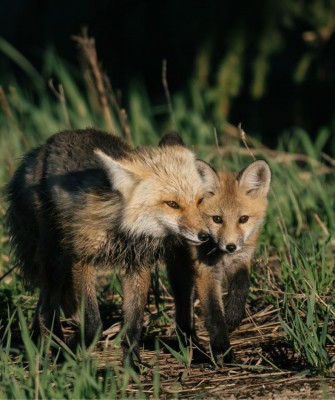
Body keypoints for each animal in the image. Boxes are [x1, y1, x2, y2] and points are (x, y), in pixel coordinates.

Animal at [5, 129, 220, 366]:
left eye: (199, 201)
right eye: (172, 204)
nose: (204, 236)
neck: (124, 231)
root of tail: (43, 146)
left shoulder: (138, 265)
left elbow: (134, 323)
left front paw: (131, 365)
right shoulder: (81, 260)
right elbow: (94, 325)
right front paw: (76, 345)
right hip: (55, 259)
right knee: (47, 310)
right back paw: (58, 351)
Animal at [166, 159, 272, 362]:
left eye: (243, 219)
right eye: (217, 219)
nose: (230, 246)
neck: (222, 255)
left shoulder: (241, 258)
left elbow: (242, 285)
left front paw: (233, 315)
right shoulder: (207, 271)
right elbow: (214, 312)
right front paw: (222, 348)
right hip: (182, 270)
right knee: (183, 308)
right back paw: (189, 344)